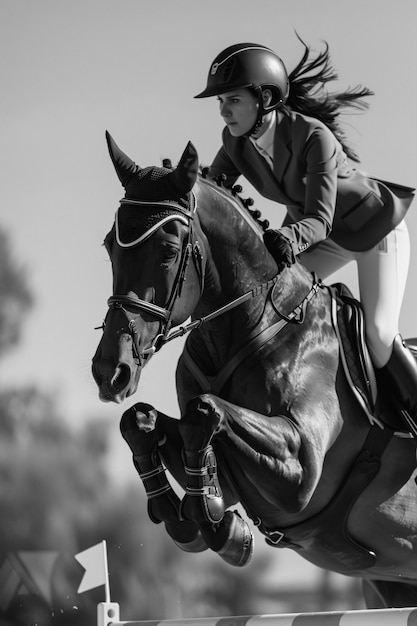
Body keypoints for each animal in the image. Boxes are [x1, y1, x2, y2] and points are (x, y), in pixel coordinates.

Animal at [92, 134, 416, 608]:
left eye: (168, 251)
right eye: (109, 246)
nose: (109, 371)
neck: (249, 325)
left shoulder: (300, 472)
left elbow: (205, 411)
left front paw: (217, 525)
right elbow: (139, 421)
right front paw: (188, 518)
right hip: (390, 585)